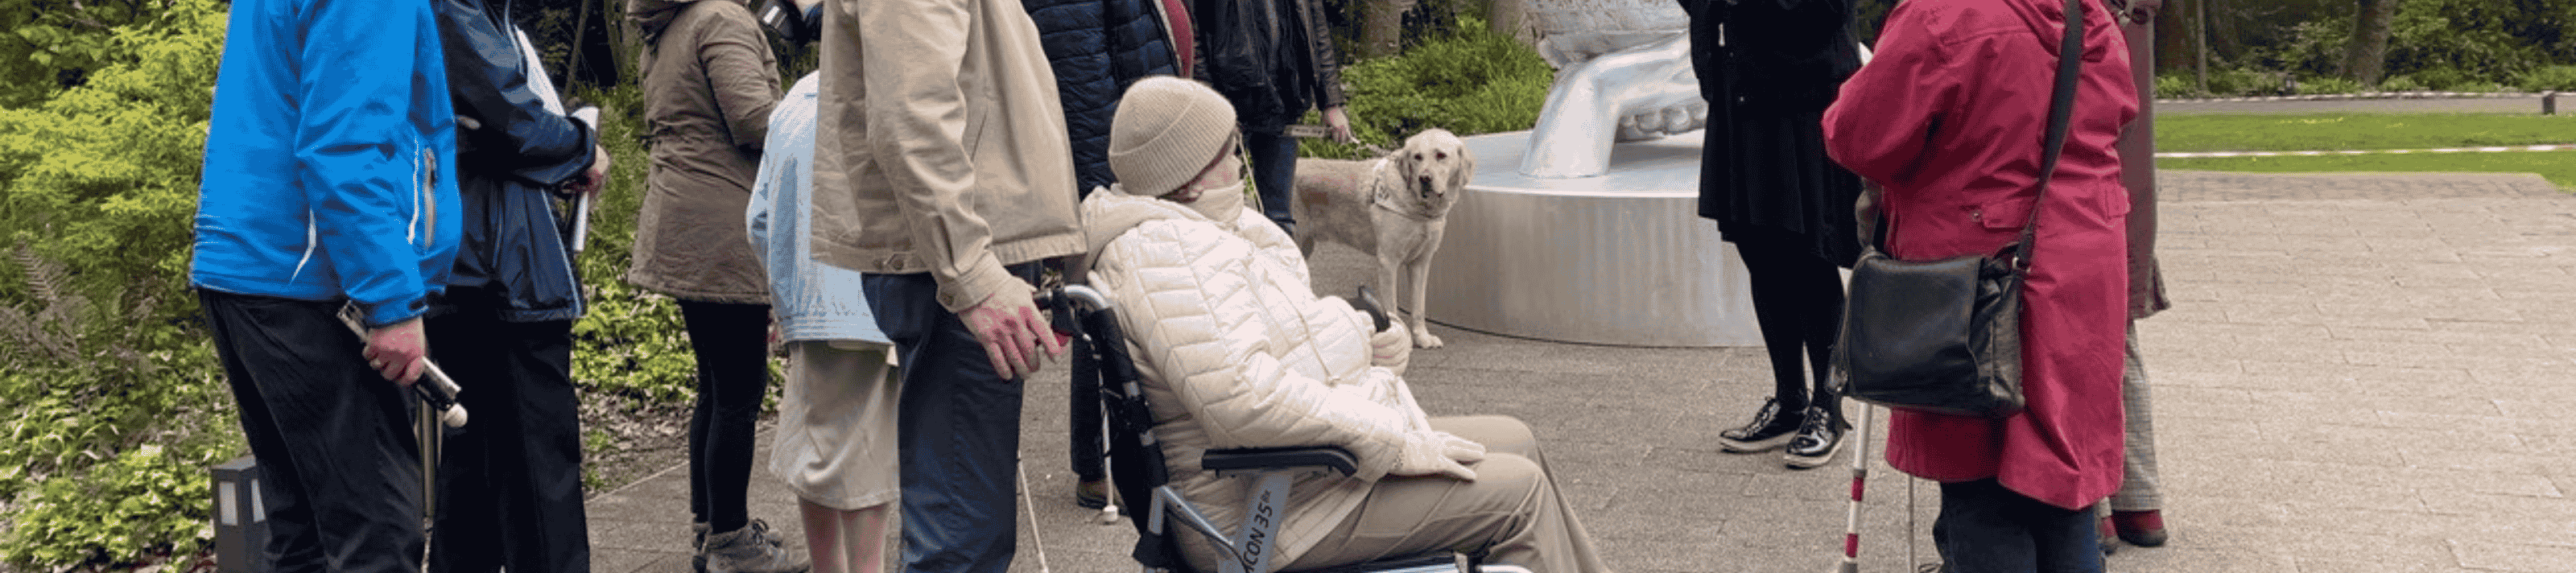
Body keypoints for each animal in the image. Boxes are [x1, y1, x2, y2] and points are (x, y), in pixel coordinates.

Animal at [1298, 126, 1484, 345]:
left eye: (1441, 156)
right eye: (1417, 157)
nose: (1424, 179)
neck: (1419, 207)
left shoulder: (1421, 263)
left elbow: (1419, 307)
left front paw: (1422, 338)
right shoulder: (1388, 261)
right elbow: (1392, 308)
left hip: (1305, 246)